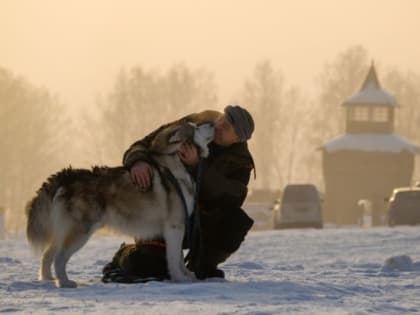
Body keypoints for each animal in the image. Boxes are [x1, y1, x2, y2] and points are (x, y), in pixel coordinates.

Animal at [27, 123, 213, 288]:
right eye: (195, 127)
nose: (212, 122)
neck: (176, 167)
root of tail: (66, 175)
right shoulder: (174, 226)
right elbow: (175, 258)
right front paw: (180, 279)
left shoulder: (178, 226)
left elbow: (180, 257)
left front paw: (188, 275)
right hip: (81, 231)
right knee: (59, 257)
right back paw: (64, 282)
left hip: (64, 230)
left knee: (47, 254)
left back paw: (48, 279)